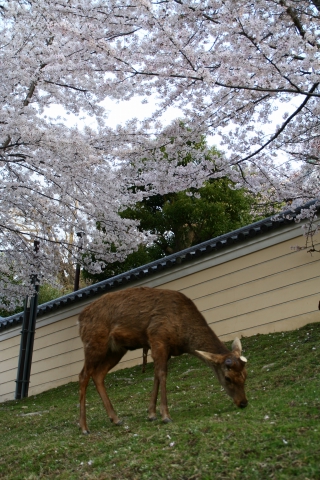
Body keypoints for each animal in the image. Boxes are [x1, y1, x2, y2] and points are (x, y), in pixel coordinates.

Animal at [79, 286, 249, 434]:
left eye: (245, 375)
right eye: (227, 378)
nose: (243, 403)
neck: (183, 337)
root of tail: (80, 319)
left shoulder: (164, 349)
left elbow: (156, 375)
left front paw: (151, 414)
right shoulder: (158, 337)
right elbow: (162, 374)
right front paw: (165, 416)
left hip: (117, 349)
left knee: (98, 374)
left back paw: (115, 418)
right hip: (94, 342)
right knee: (83, 375)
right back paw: (84, 427)